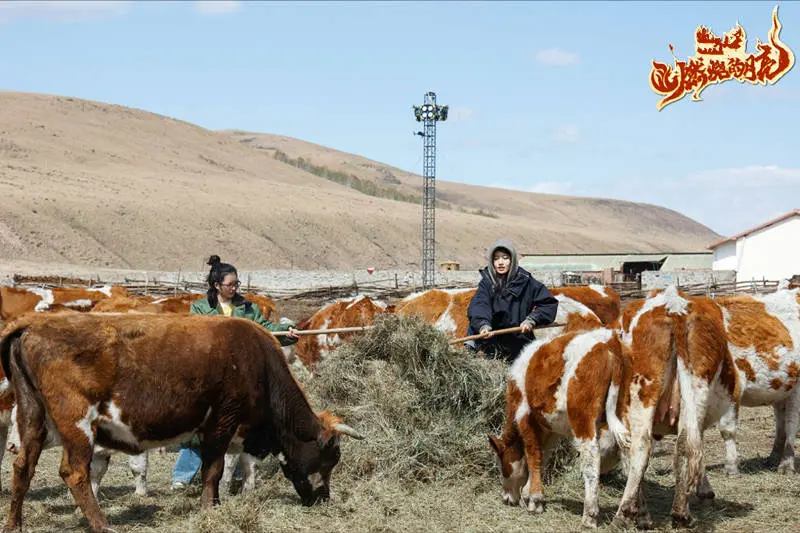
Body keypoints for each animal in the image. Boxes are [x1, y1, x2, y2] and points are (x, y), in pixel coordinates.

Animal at [0, 312, 362, 532]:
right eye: (330, 457)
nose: (323, 498)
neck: (260, 362)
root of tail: (33, 323)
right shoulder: (221, 421)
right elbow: (213, 470)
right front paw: (209, 509)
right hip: (77, 423)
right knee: (75, 473)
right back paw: (103, 525)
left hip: (32, 416)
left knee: (23, 467)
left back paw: (15, 524)